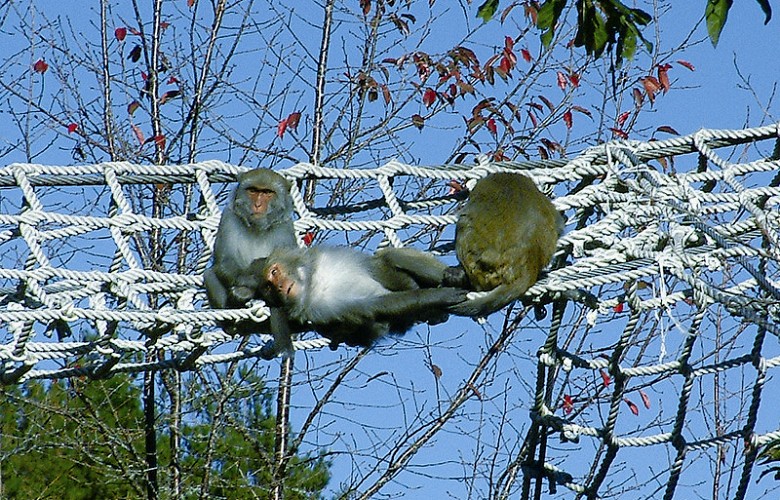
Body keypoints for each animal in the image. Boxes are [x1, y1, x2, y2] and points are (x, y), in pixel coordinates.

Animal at [203, 168, 299, 357]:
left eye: (267, 193)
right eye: (253, 191)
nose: (258, 205)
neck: (257, 227)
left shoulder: (285, 228)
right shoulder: (229, 218)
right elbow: (224, 263)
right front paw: (246, 288)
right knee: (210, 274)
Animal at [258, 246, 469, 350]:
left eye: (275, 272)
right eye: (268, 286)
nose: (278, 287)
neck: (312, 285)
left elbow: (374, 265)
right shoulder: (320, 310)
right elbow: (375, 305)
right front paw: (439, 296)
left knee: (390, 258)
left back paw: (457, 276)